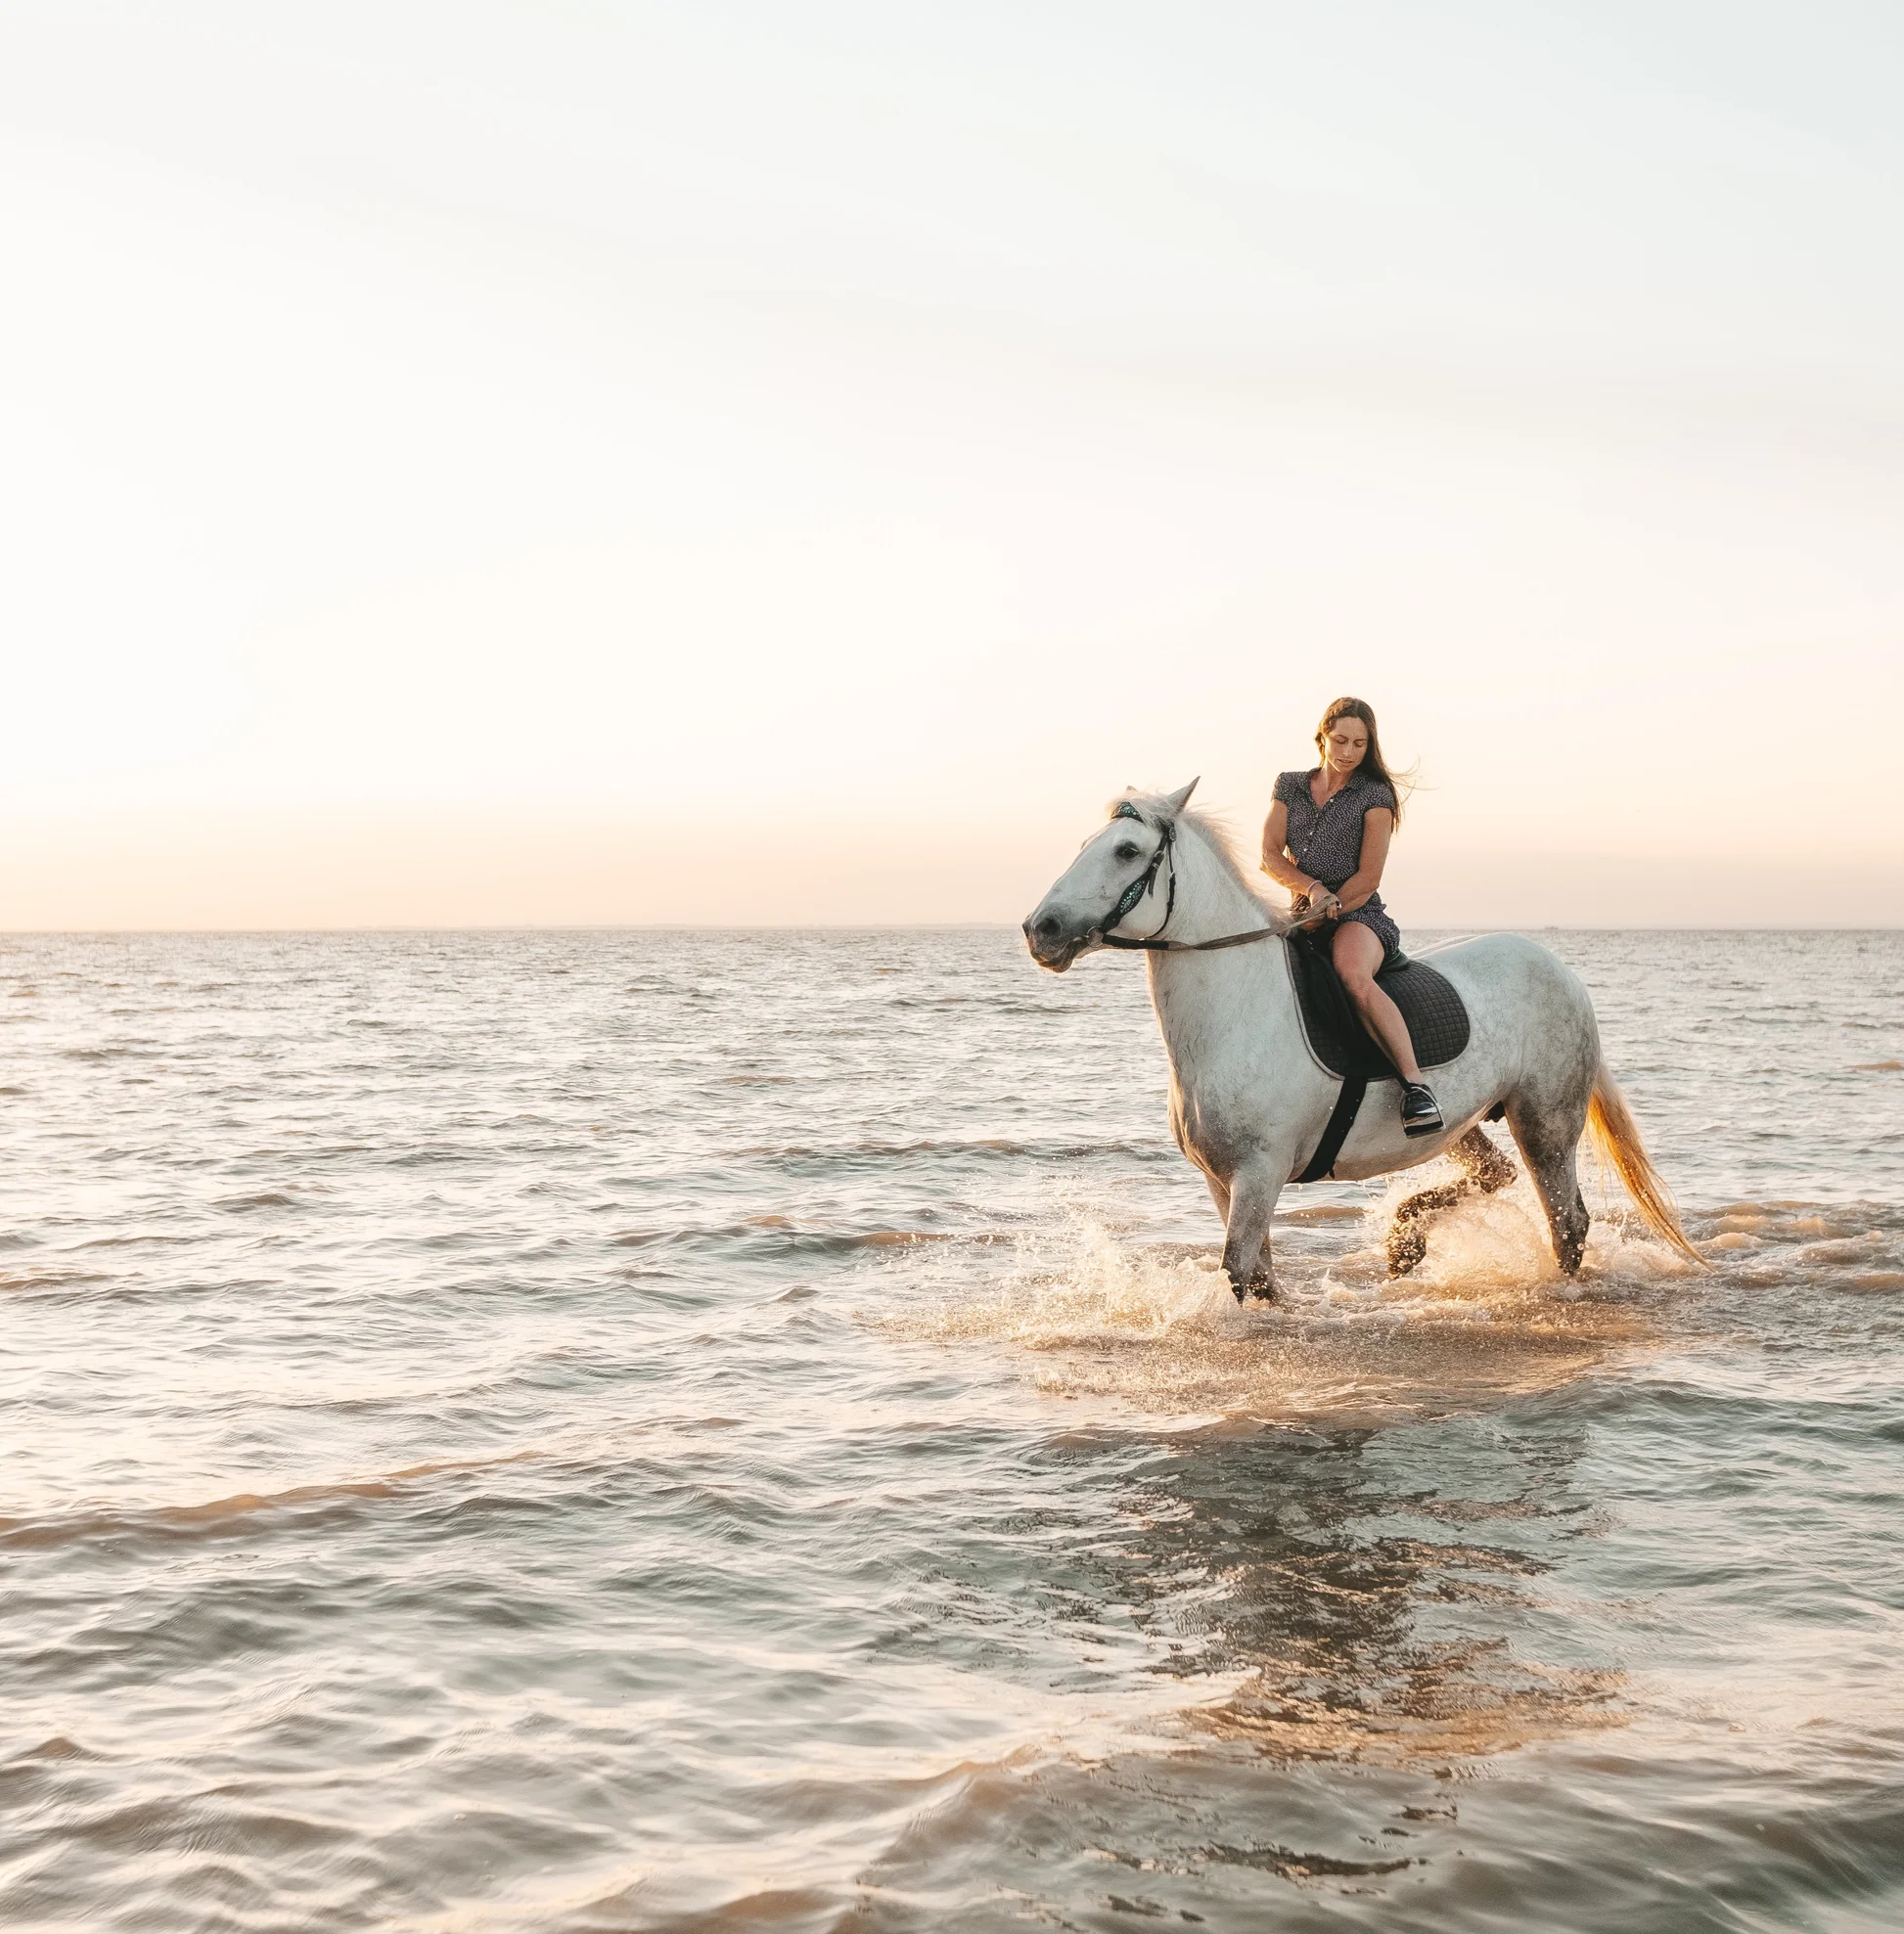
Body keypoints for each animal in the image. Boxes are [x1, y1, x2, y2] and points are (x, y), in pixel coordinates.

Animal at [1022, 781, 1701, 1299]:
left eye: (1126, 850)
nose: (1040, 930)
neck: (1238, 1009)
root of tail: (1562, 971)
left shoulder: (1259, 1172)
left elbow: (1242, 1272)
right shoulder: (1221, 1179)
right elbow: (1261, 1277)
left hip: (1546, 1120)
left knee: (1567, 1221)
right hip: (1464, 1122)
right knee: (1497, 1173)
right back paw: (1406, 1242)